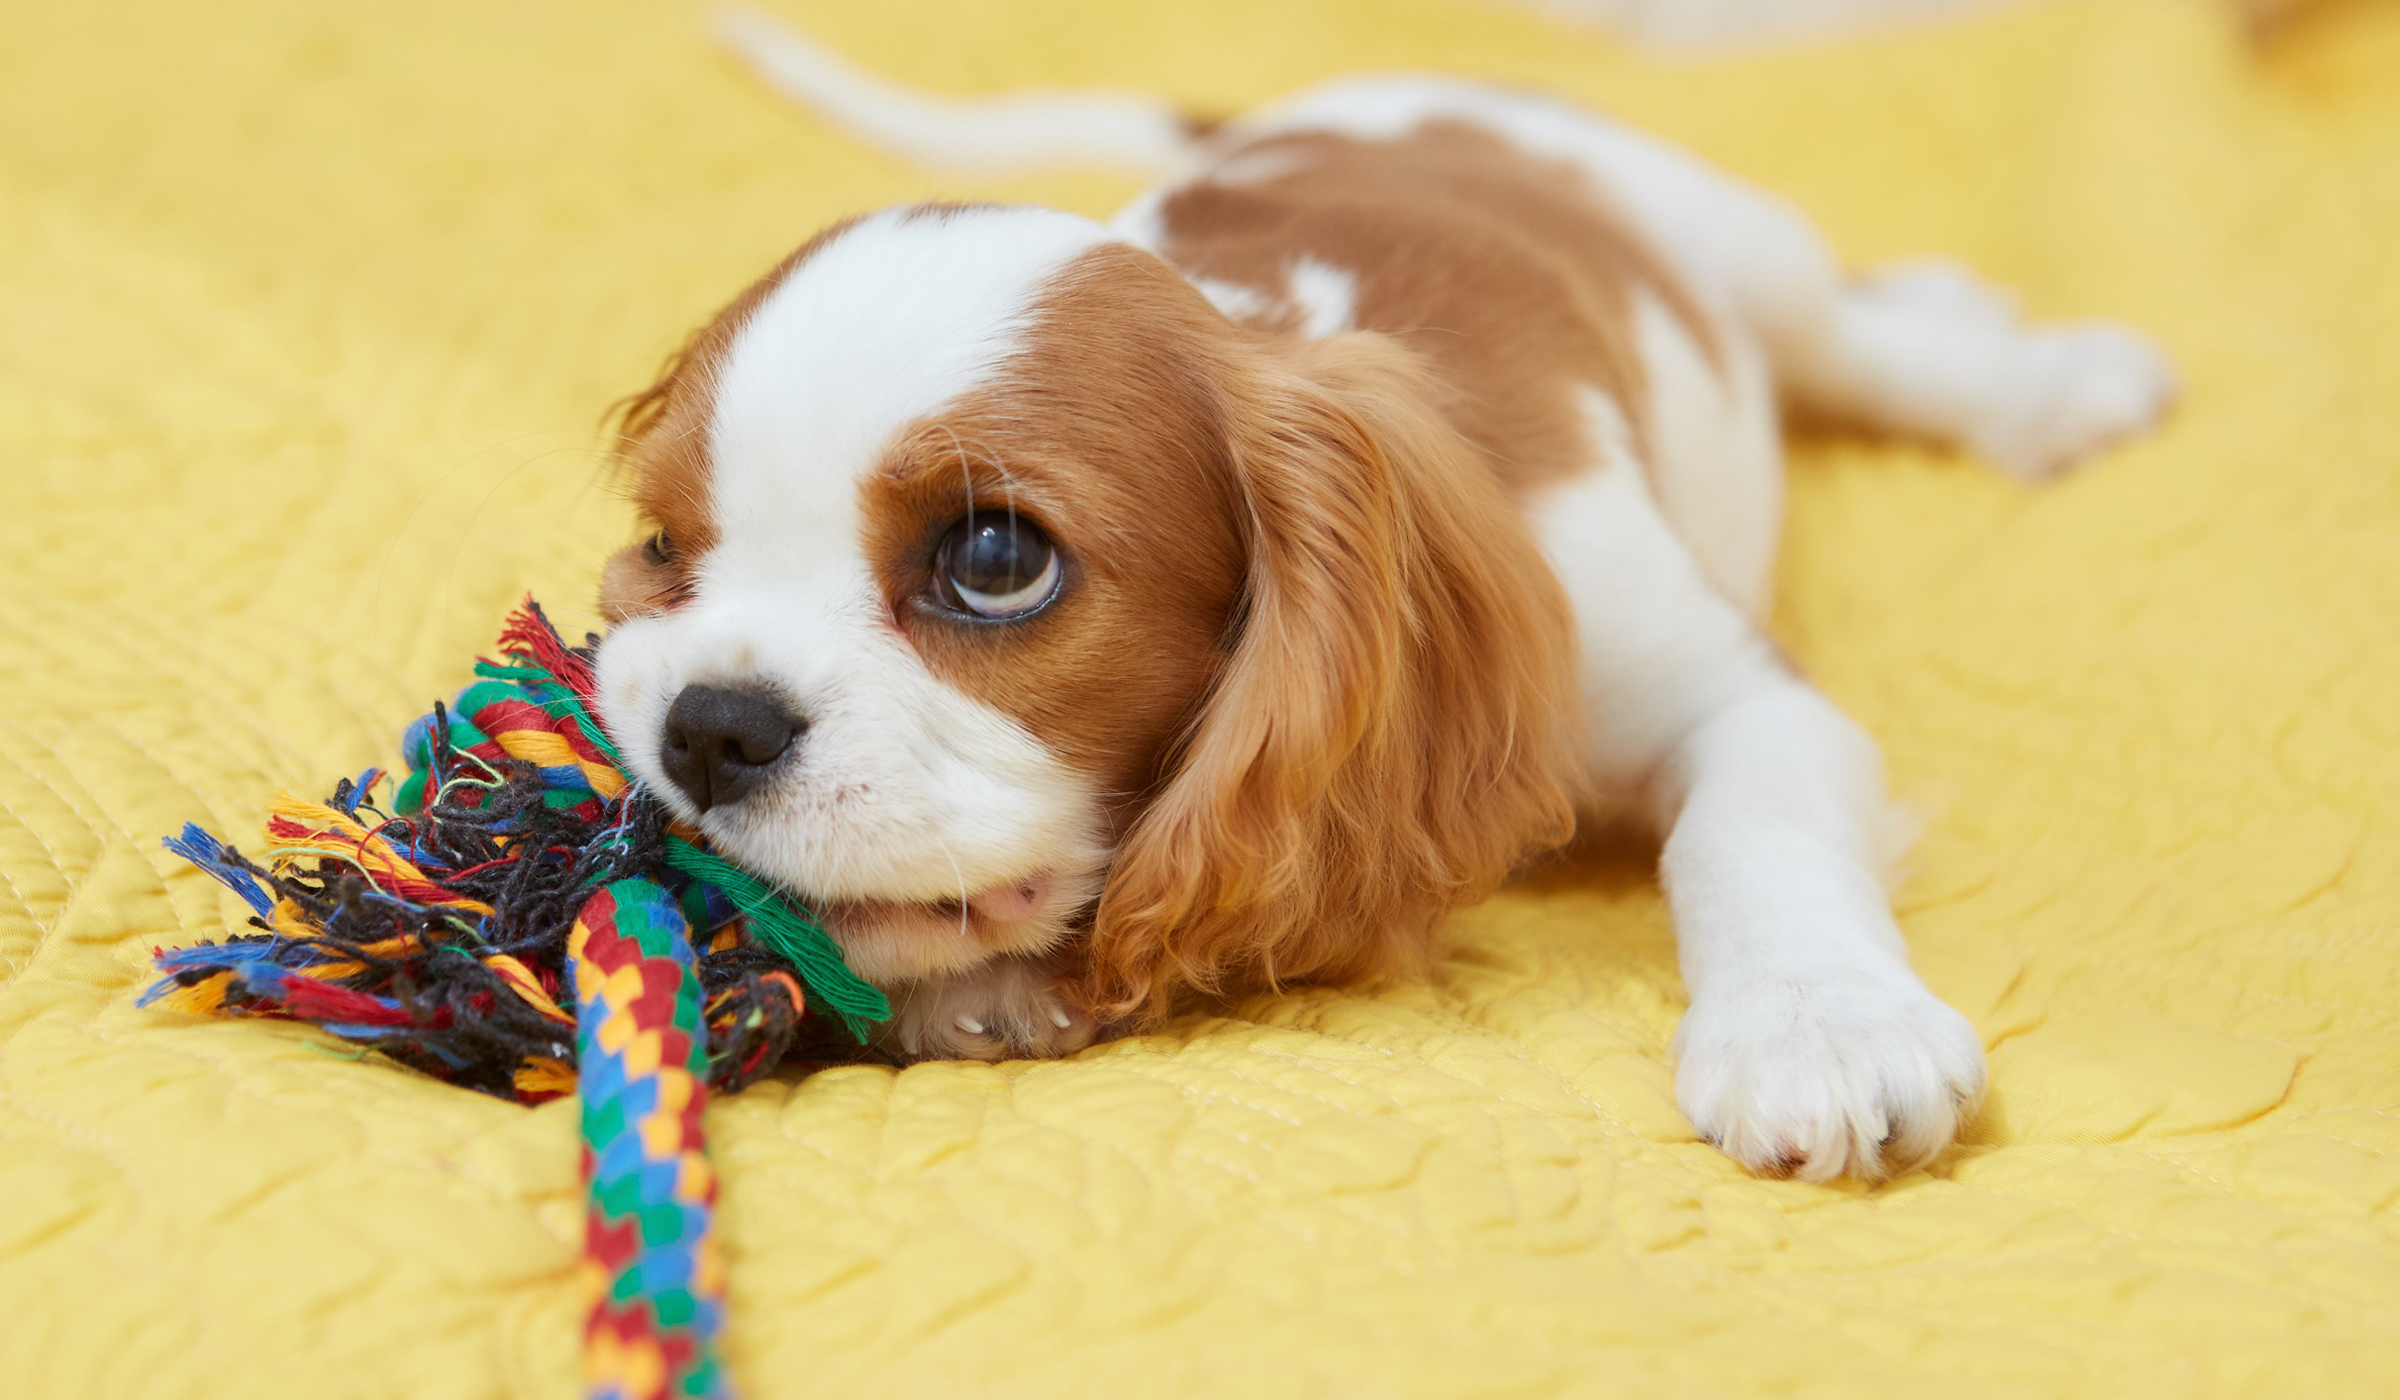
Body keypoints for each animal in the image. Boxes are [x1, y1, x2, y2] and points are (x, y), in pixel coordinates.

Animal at [595, 19, 2179, 1181]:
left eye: (994, 560)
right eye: (667, 544)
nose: (707, 728)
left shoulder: (1737, 693)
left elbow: (1746, 830)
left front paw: (1819, 1024)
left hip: (1728, 232)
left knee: (1854, 334)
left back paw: (2039, 383)